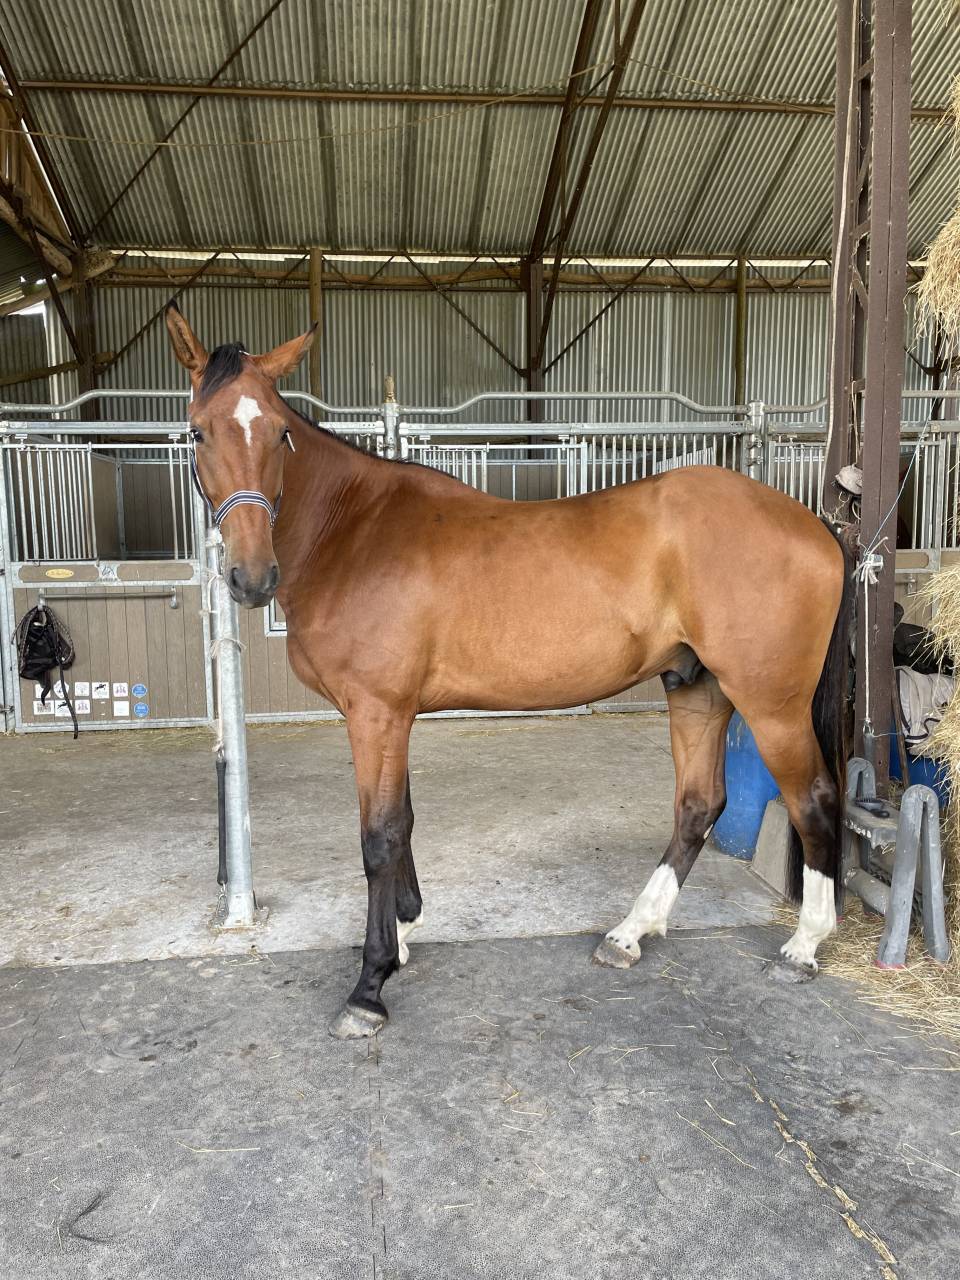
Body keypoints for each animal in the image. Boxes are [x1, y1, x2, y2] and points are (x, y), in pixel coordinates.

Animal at [166, 305, 852, 1040]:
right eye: (198, 430)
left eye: (280, 433)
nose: (252, 577)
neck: (352, 530)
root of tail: (812, 523)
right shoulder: (390, 715)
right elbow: (404, 822)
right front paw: (403, 935)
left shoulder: (377, 711)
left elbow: (379, 836)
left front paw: (371, 983)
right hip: (699, 688)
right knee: (698, 806)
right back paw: (630, 933)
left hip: (770, 703)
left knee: (814, 800)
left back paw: (804, 944)